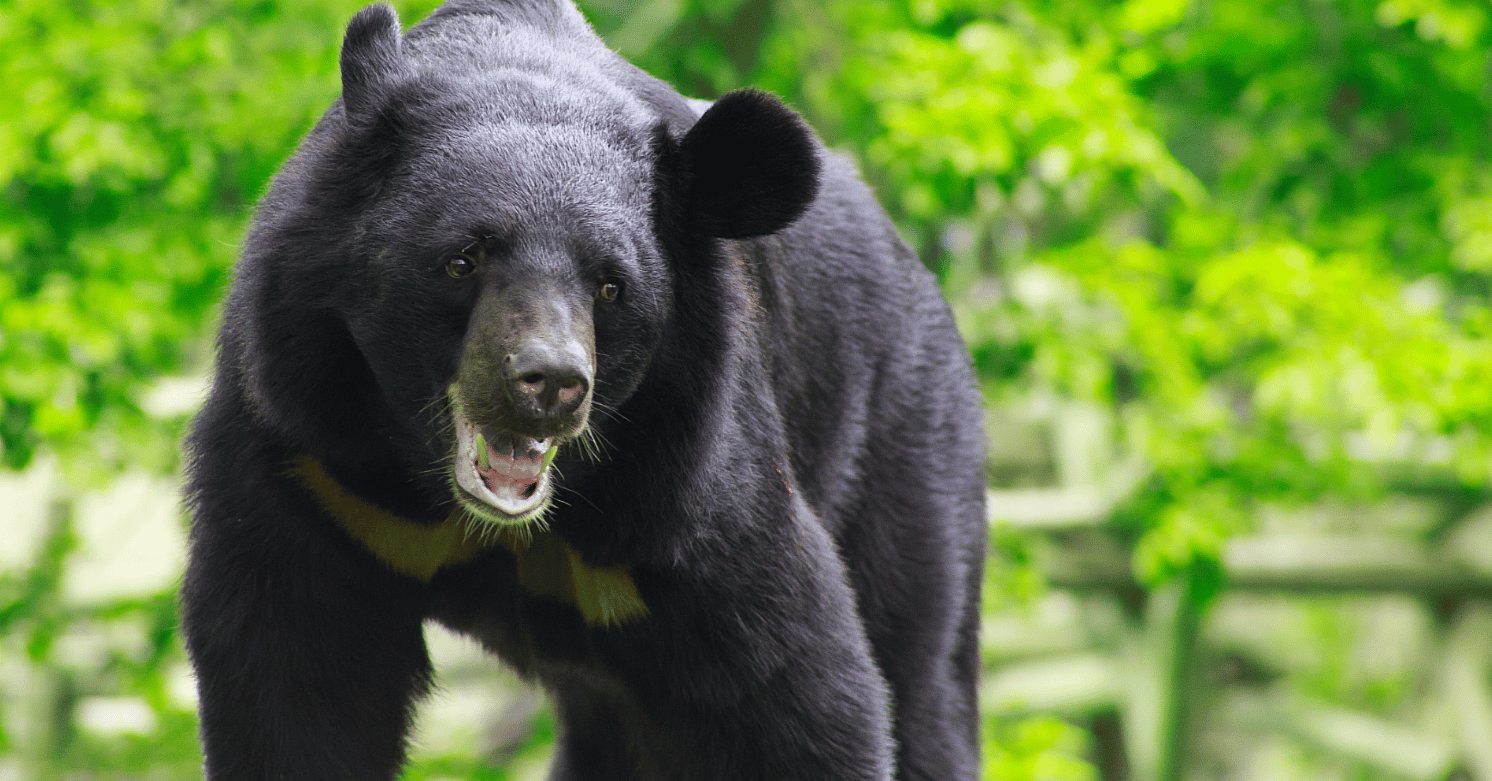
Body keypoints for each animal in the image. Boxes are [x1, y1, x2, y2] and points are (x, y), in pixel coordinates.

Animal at [179, 1, 987, 779]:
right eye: (463, 258)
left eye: (610, 286)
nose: (552, 383)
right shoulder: (310, 460)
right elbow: (296, 680)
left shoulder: (688, 485)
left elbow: (794, 688)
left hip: (902, 451)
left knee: (921, 671)